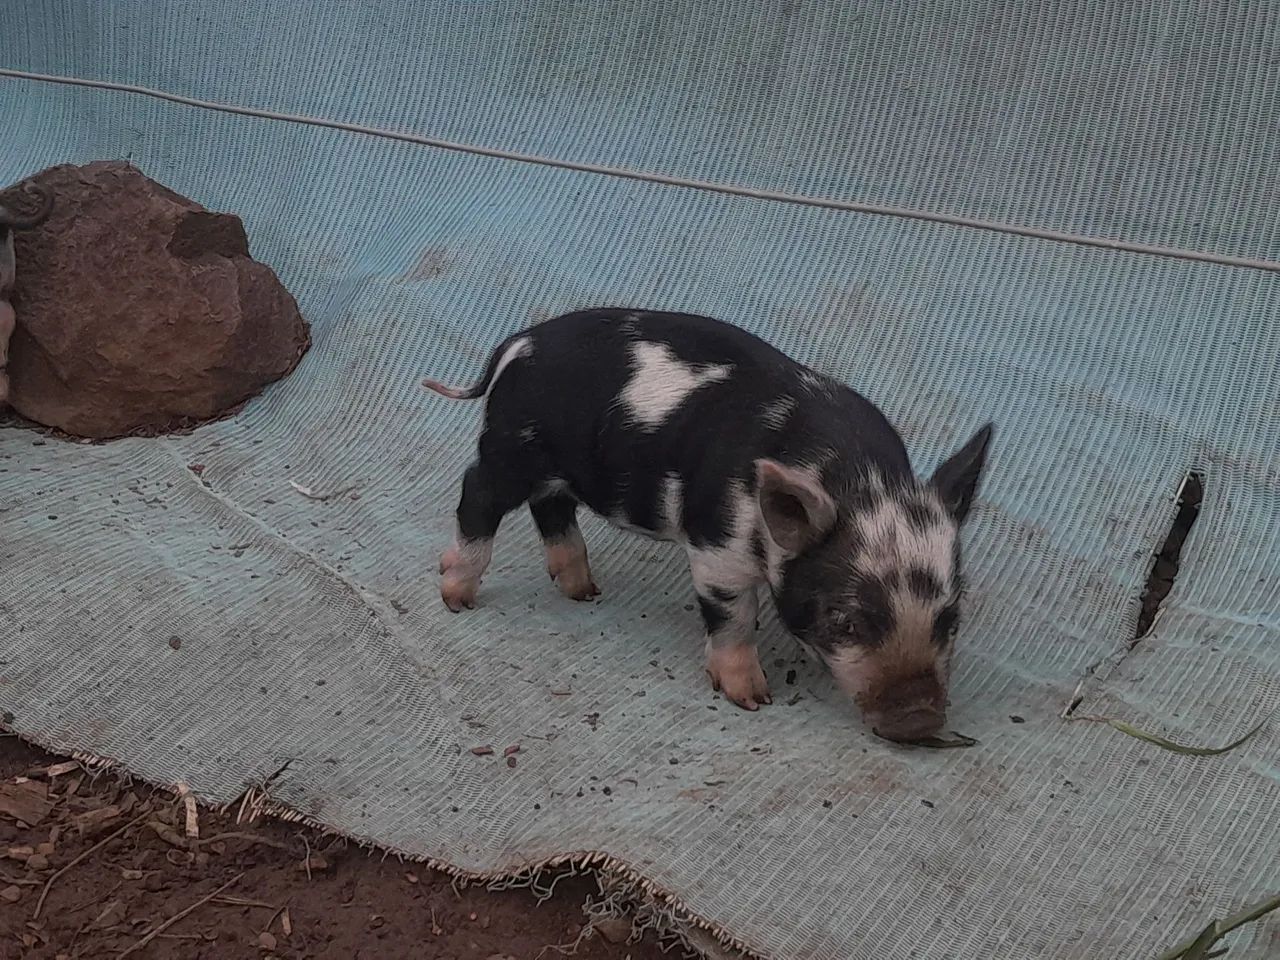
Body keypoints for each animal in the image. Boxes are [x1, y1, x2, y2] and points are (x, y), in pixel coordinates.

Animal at [422, 309, 992, 742]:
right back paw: (457, 596)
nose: (919, 722)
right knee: (477, 493)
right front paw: (752, 699)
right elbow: (733, 617)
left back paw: (583, 592)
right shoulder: (718, 546)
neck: (854, 477)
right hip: (513, 448)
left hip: (556, 468)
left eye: (950, 619)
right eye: (845, 621)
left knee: (551, 508)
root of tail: (517, 344)